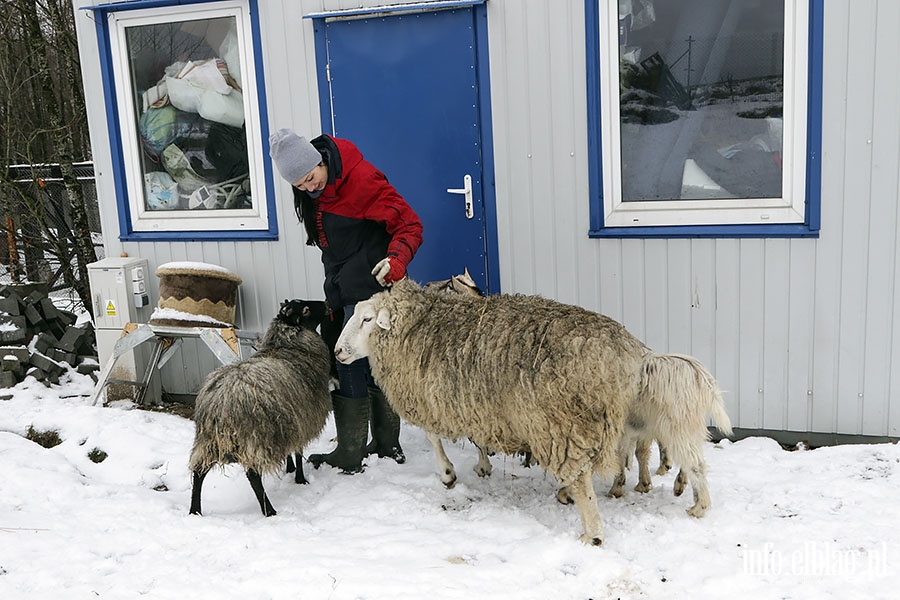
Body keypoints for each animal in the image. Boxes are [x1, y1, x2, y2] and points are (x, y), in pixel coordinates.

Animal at [191, 300, 334, 516]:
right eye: (306, 310)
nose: (326, 304)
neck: (286, 346)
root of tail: (219, 404)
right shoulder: (303, 418)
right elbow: (298, 452)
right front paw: (300, 479)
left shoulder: (288, 421)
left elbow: (290, 451)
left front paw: (290, 469)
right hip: (256, 438)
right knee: (253, 476)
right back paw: (269, 510)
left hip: (208, 442)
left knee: (198, 471)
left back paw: (194, 510)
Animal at [334, 278, 644, 548]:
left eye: (367, 319)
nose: (337, 351)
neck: (417, 325)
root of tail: (621, 353)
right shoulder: (474, 403)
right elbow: (476, 439)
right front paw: (482, 465)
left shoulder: (431, 397)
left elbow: (432, 436)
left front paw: (448, 474)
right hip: (603, 419)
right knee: (612, 458)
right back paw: (587, 491)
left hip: (561, 423)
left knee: (581, 477)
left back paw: (592, 533)